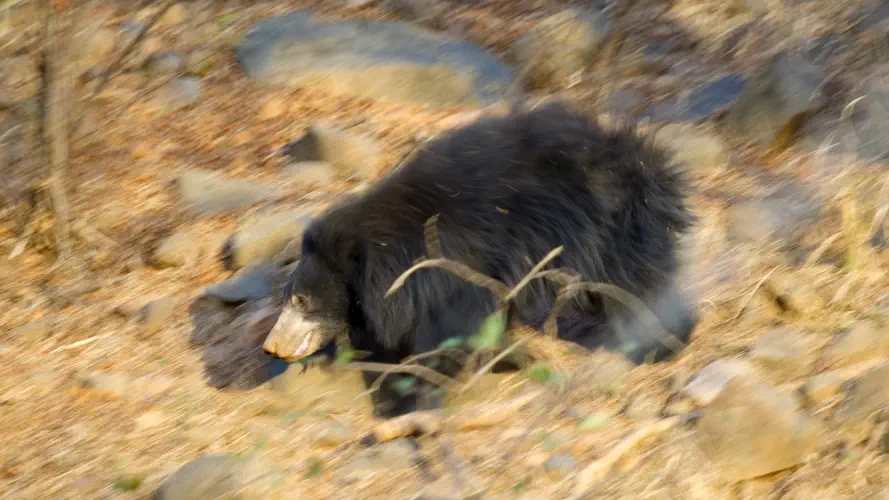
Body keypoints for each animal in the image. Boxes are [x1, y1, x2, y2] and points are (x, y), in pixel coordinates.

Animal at [262, 99, 698, 419]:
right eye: (289, 298)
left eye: (302, 300)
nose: (271, 347)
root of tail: (638, 155)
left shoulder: (451, 270)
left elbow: (451, 331)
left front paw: (413, 400)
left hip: (609, 226)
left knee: (637, 281)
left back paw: (662, 341)